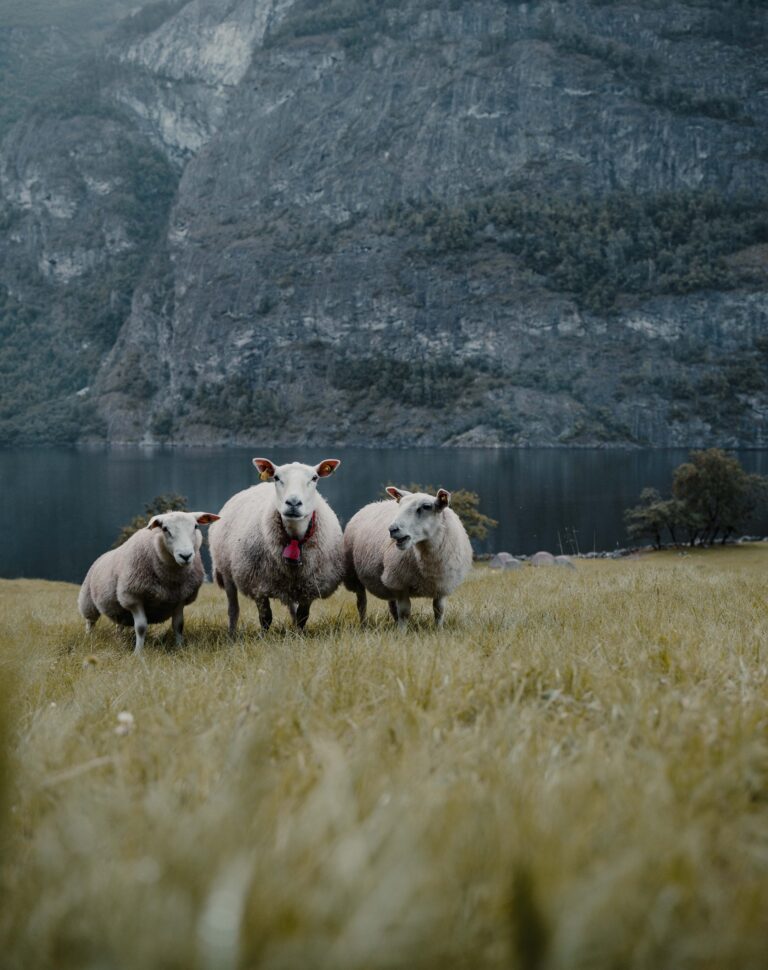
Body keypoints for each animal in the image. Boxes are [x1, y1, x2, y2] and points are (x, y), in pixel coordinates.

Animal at [78, 511, 221, 653]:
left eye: (196, 526)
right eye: (165, 529)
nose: (185, 556)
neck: (170, 579)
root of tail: (101, 556)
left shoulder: (180, 598)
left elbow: (178, 626)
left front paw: (180, 648)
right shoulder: (133, 598)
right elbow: (141, 628)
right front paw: (138, 652)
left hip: (119, 609)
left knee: (119, 625)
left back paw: (120, 640)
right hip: (88, 601)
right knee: (90, 622)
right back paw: (89, 638)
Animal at [209, 458, 344, 634]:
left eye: (314, 478)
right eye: (277, 477)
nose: (293, 502)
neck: (294, 538)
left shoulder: (310, 587)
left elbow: (302, 616)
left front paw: (299, 635)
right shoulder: (258, 585)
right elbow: (265, 618)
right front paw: (264, 637)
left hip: (290, 585)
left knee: (292, 608)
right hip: (226, 571)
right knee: (233, 609)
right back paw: (232, 634)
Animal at [343, 487, 473, 628]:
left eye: (426, 506)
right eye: (399, 505)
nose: (392, 529)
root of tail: (373, 503)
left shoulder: (442, 585)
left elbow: (439, 610)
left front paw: (439, 629)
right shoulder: (400, 584)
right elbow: (404, 613)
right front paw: (402, 632)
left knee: (391, 605)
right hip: (356, 577)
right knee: (362, 603)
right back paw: (364, 625)